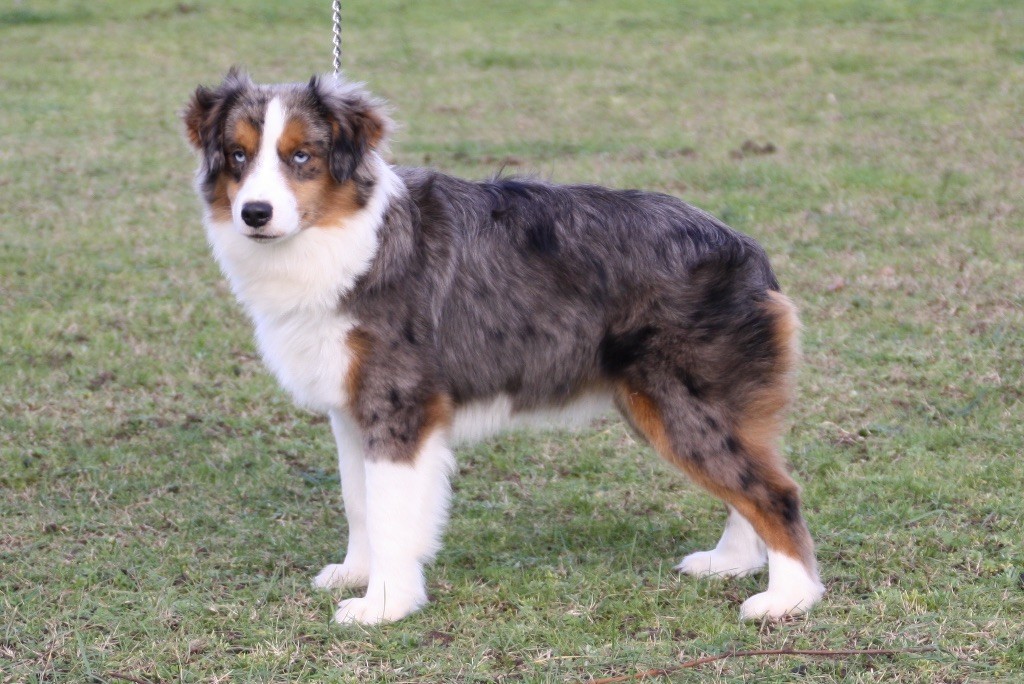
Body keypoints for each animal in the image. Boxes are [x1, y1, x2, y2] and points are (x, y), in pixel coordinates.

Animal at [182, 69, 825, 625]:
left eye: (301, 157)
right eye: (238, 155)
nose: (255, 213)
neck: (348, 237)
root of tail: (747, 249)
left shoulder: (400, 407)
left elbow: (389, 513)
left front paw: (384, 605)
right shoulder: (350, 408)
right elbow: (358, 500)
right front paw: (356, 573)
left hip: (682, 402)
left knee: (775, 491)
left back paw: (788, 598)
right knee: (746, 483)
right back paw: (733, 563)